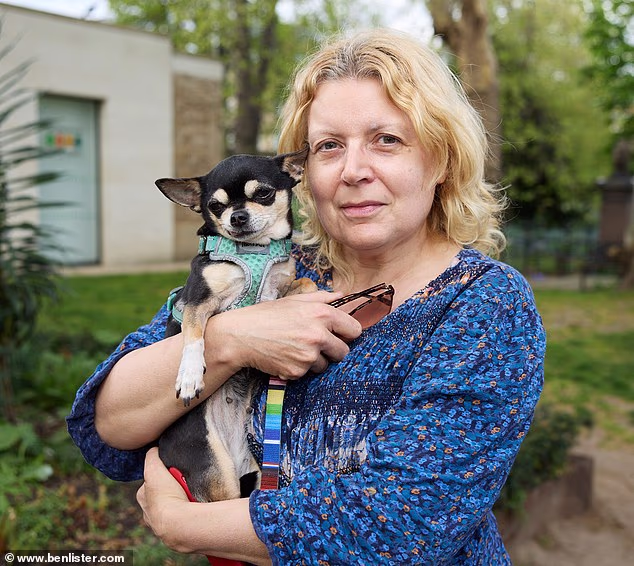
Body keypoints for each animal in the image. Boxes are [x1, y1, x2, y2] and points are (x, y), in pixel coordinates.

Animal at [156, 148, 314, 502]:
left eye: (263, 193)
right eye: (215, 206)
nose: (237, 217)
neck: (255, 252)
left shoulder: (281, 285)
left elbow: (304, 284)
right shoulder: (197, 302)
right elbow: (193, 337)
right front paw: (189, 375)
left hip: (253, 471)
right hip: (216, 470)